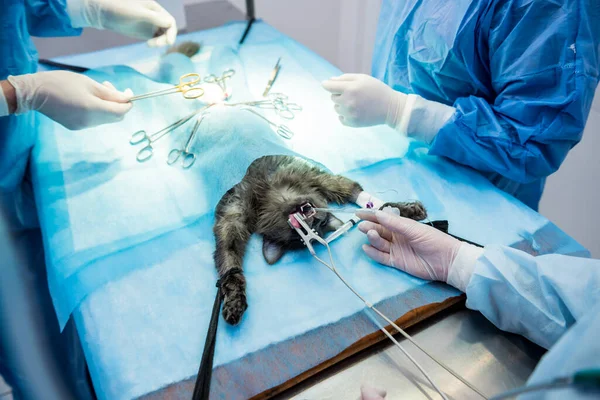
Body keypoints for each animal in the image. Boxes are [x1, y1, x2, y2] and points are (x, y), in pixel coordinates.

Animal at [211, 155, 426, 324]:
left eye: (320, 224)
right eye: (300, 235)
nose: (315, 218)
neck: (273, 193)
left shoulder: (319, 179)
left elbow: (363, 198)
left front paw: (403, 210)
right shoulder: (231, 220)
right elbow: (230, 265)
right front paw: (235, 301)